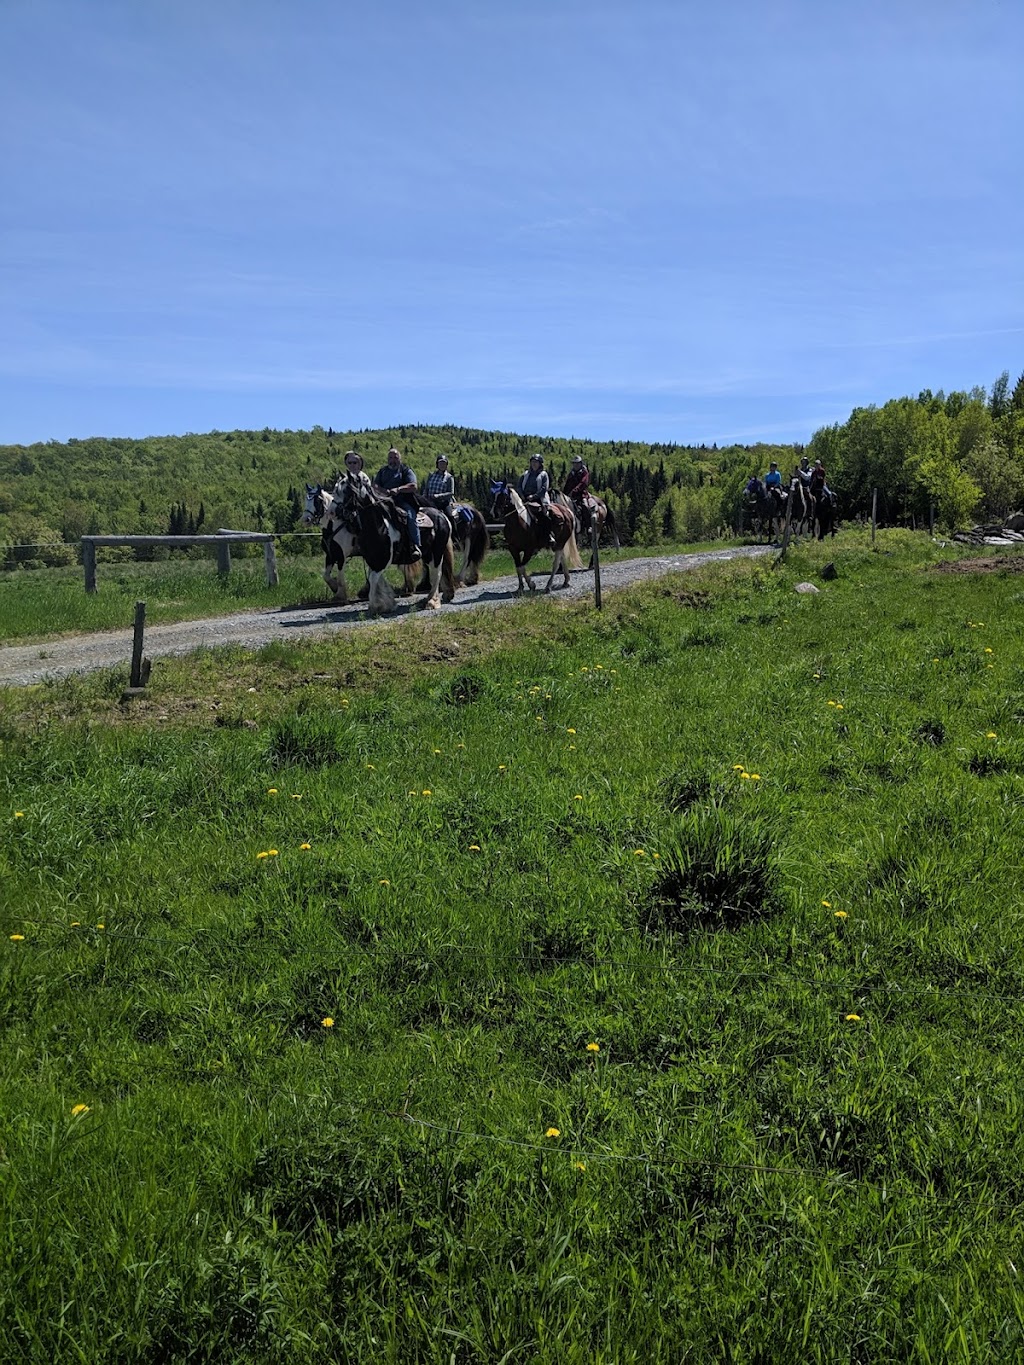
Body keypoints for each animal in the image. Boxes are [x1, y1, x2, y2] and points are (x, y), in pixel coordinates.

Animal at [345, 475, 456, 614]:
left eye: (349, 491)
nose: (344, 513)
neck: (378, 524)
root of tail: (442, 515)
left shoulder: (383, 559)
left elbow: (374, 579)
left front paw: (376, 606)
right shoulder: (373, 559)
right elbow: (375, 579)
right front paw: (387, 603)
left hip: (436, 553)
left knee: (437, 573)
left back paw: (431, 601)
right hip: (427, 554)